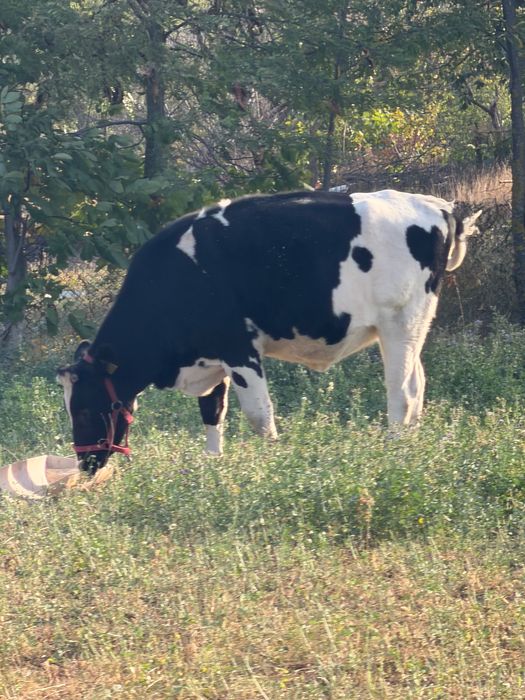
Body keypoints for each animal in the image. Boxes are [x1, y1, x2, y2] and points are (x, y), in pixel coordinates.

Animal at [57, 189, 481, 474]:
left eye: (84, 407)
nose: (85, 463)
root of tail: (435, 206)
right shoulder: (212, 359)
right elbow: (213, 412)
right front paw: (213, 464)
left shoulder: (239, 351)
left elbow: (260, 415)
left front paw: (272, 464)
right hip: (412, 327)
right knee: (418, 384)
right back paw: (412, 445)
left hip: (400, 322)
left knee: (402, 393)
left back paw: (393, 451)